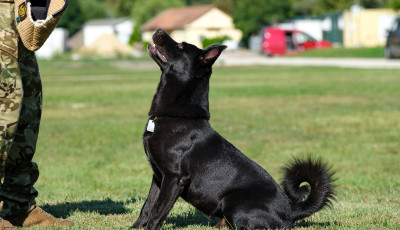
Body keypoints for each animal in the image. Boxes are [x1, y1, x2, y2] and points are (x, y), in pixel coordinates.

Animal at [133, 29, 336, 230]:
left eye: (180, 46)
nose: (159, 30)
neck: (176, 116)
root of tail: (291, 211)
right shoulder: (158, 177)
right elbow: (147, 207)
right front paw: (135, 227)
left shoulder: (174, 178)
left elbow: (158, 211)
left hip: (235, 204)